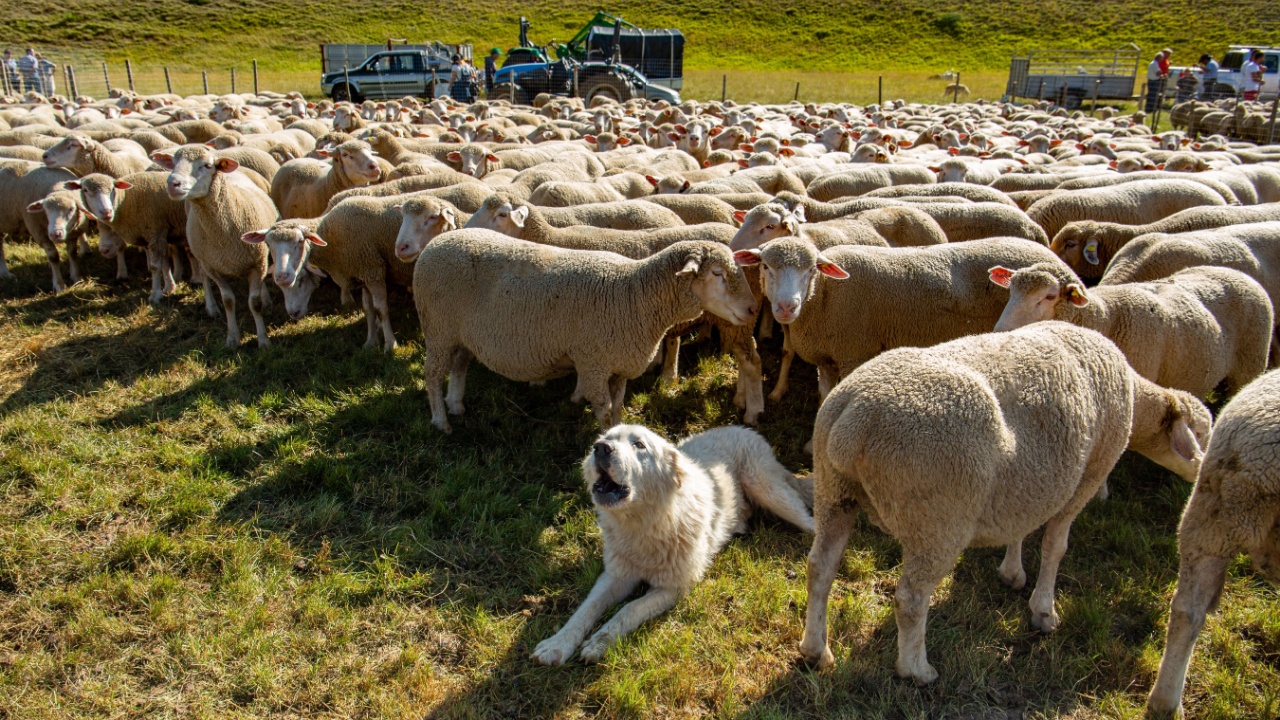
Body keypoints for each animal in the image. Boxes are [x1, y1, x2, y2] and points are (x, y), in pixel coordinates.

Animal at [532, 422, 814, 666]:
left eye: (639, 445)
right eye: (604, 439)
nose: (600, 448)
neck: (644, 526)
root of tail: (743, 428)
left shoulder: (673, 587)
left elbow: (628, 610)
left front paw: (599, 642)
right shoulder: (615, 576)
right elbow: (585, 609)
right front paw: (556, 645)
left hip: (767, 490)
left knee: (810, 521)